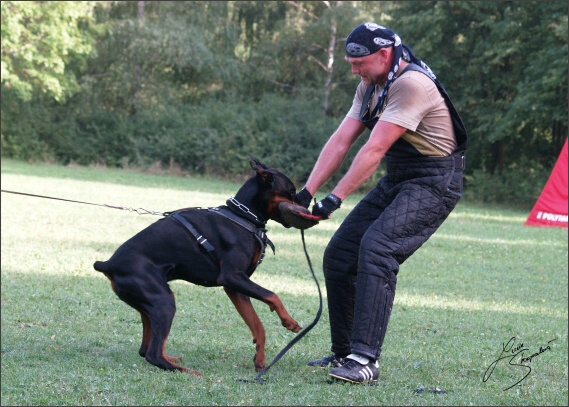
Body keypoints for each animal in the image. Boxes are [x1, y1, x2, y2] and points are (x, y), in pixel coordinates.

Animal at [94, 157, 302, 376]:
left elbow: (257, 324)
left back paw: (172, 359)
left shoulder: (235, 287)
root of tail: (108, 264)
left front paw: (260, 359)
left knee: (145, 349)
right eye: (291, 191)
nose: (306, 205)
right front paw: (289, 321)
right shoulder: (232, 277)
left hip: (149, 303)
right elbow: (273, 295)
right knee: (152, 354)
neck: (243, 216)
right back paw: (189, 372)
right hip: (163, 301)